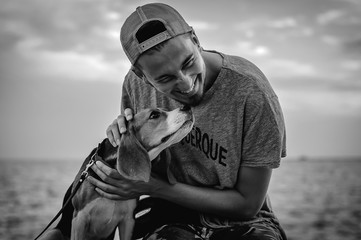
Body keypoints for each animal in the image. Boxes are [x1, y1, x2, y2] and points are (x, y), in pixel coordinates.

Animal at [38, 107, 193, 240]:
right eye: (154, 115)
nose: (187, 107)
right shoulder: (79, 218)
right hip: (52, 233)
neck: (113, 165)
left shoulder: (128, 221)